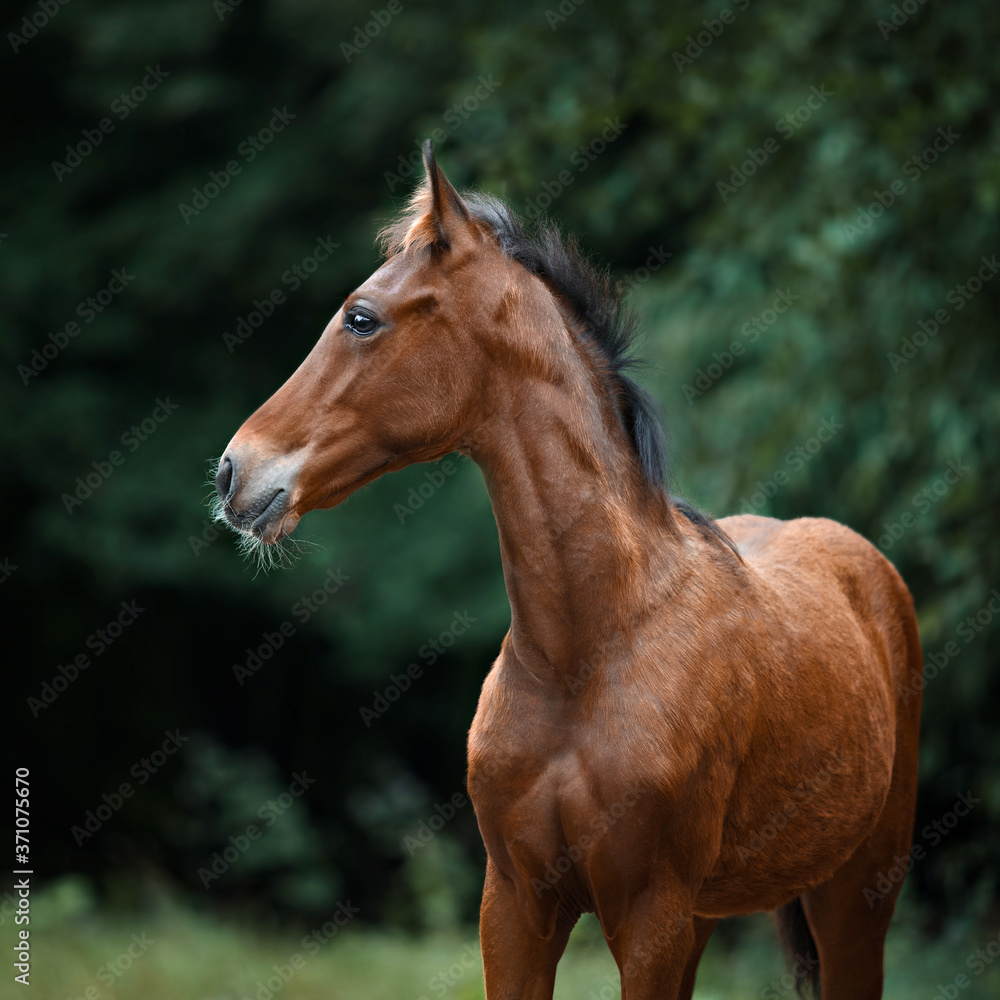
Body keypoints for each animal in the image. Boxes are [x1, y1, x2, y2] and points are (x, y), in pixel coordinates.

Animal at [214, 142, 922, 999]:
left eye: (361, 317)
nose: (234, 472)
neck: (583, 654)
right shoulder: (516, 908)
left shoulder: (648, 917)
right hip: (713, 917)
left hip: (856, 896)